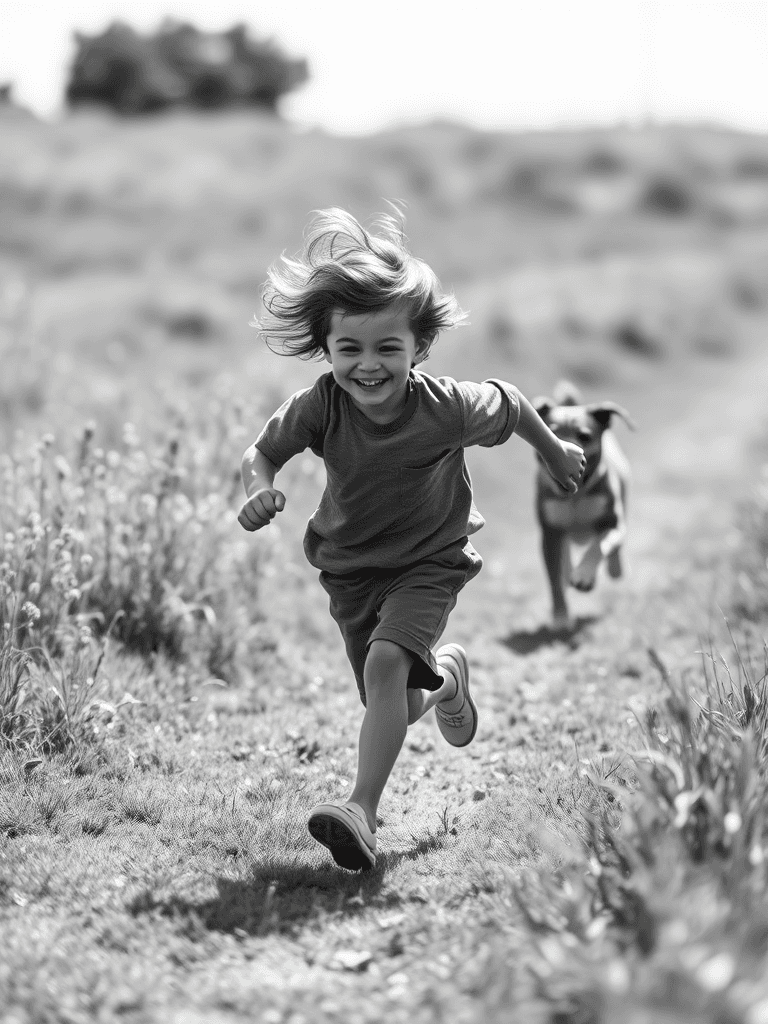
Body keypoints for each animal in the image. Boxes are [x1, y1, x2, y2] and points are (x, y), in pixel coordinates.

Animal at [532, 380, 634, 626]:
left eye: (584, 436)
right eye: (551, 432)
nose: (565, 452)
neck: (575, 498)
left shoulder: (611, 521)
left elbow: (599, 545)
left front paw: (584, 576)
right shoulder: (550, 532)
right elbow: (554, 576)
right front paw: (560, 616)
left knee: (613, 547)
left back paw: (614, 568)